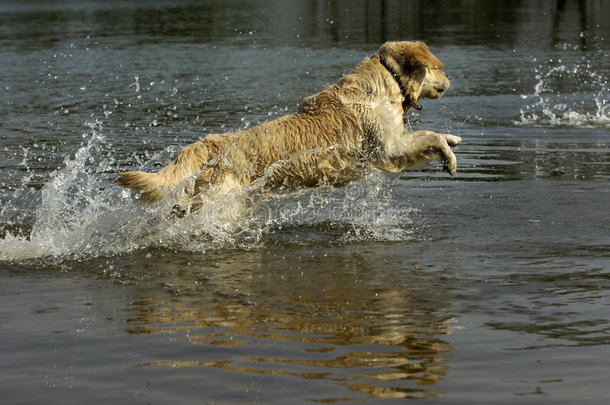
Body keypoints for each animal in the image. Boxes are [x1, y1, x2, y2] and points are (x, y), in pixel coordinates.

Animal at [119, 40, 458, 211]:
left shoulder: (395, 143)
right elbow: (430, 136)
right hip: (223, 203)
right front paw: (449, 156)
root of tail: (210, 144)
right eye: (438, 66)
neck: (387, 81)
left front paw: (453, 140)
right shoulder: (388, 150)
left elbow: (431, 135)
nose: (450, 77)